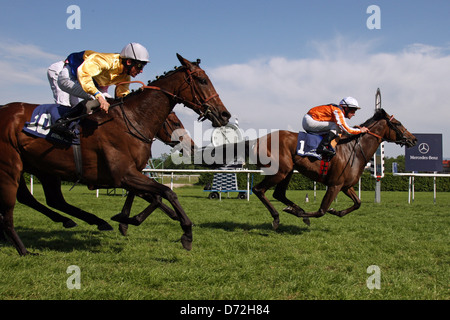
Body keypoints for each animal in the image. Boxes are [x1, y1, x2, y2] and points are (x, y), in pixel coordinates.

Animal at [0, 54, 230, 255]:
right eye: (202, 80)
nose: (224, 114)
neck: (133, 120)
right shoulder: (123, 174)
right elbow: (166, 193)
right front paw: (186, 232)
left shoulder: (129, 174)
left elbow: (153, 196)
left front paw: (126, 221)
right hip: (11, 167)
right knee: (10, 210)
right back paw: (24, 249)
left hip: (43, 168)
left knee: (47, 199)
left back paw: (83, 221)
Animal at [199, 109, 416, 229]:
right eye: (398, 124)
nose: (413, 139)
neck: (354, 149)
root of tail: (257, 140)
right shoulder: (335, 185)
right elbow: (321, 210)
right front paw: (305, 215)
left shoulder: (346, 186)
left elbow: (358, 203)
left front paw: (336, 211)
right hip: (281, 170)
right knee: (259, 190)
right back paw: (279, 217)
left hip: (287, 171)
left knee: (278, 194)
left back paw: (294, 208)